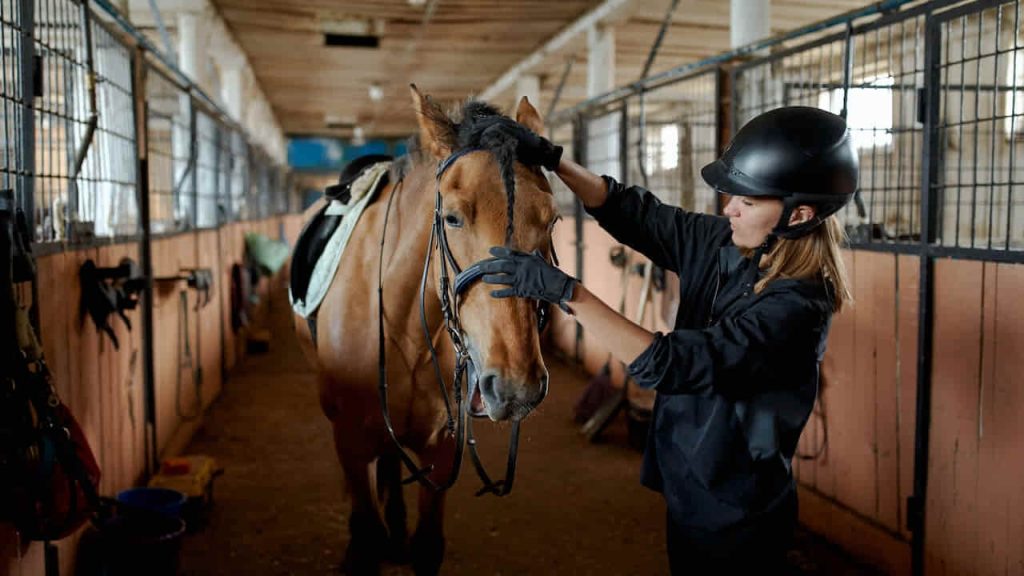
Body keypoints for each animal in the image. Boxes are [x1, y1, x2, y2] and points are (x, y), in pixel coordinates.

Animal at [292, 86, 557, 573]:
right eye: (452, 217)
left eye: (551, 220)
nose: (517, 387)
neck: (407, 331)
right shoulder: (351, 442)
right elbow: (366, 535)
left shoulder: (440, 450)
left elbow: (427, 545)